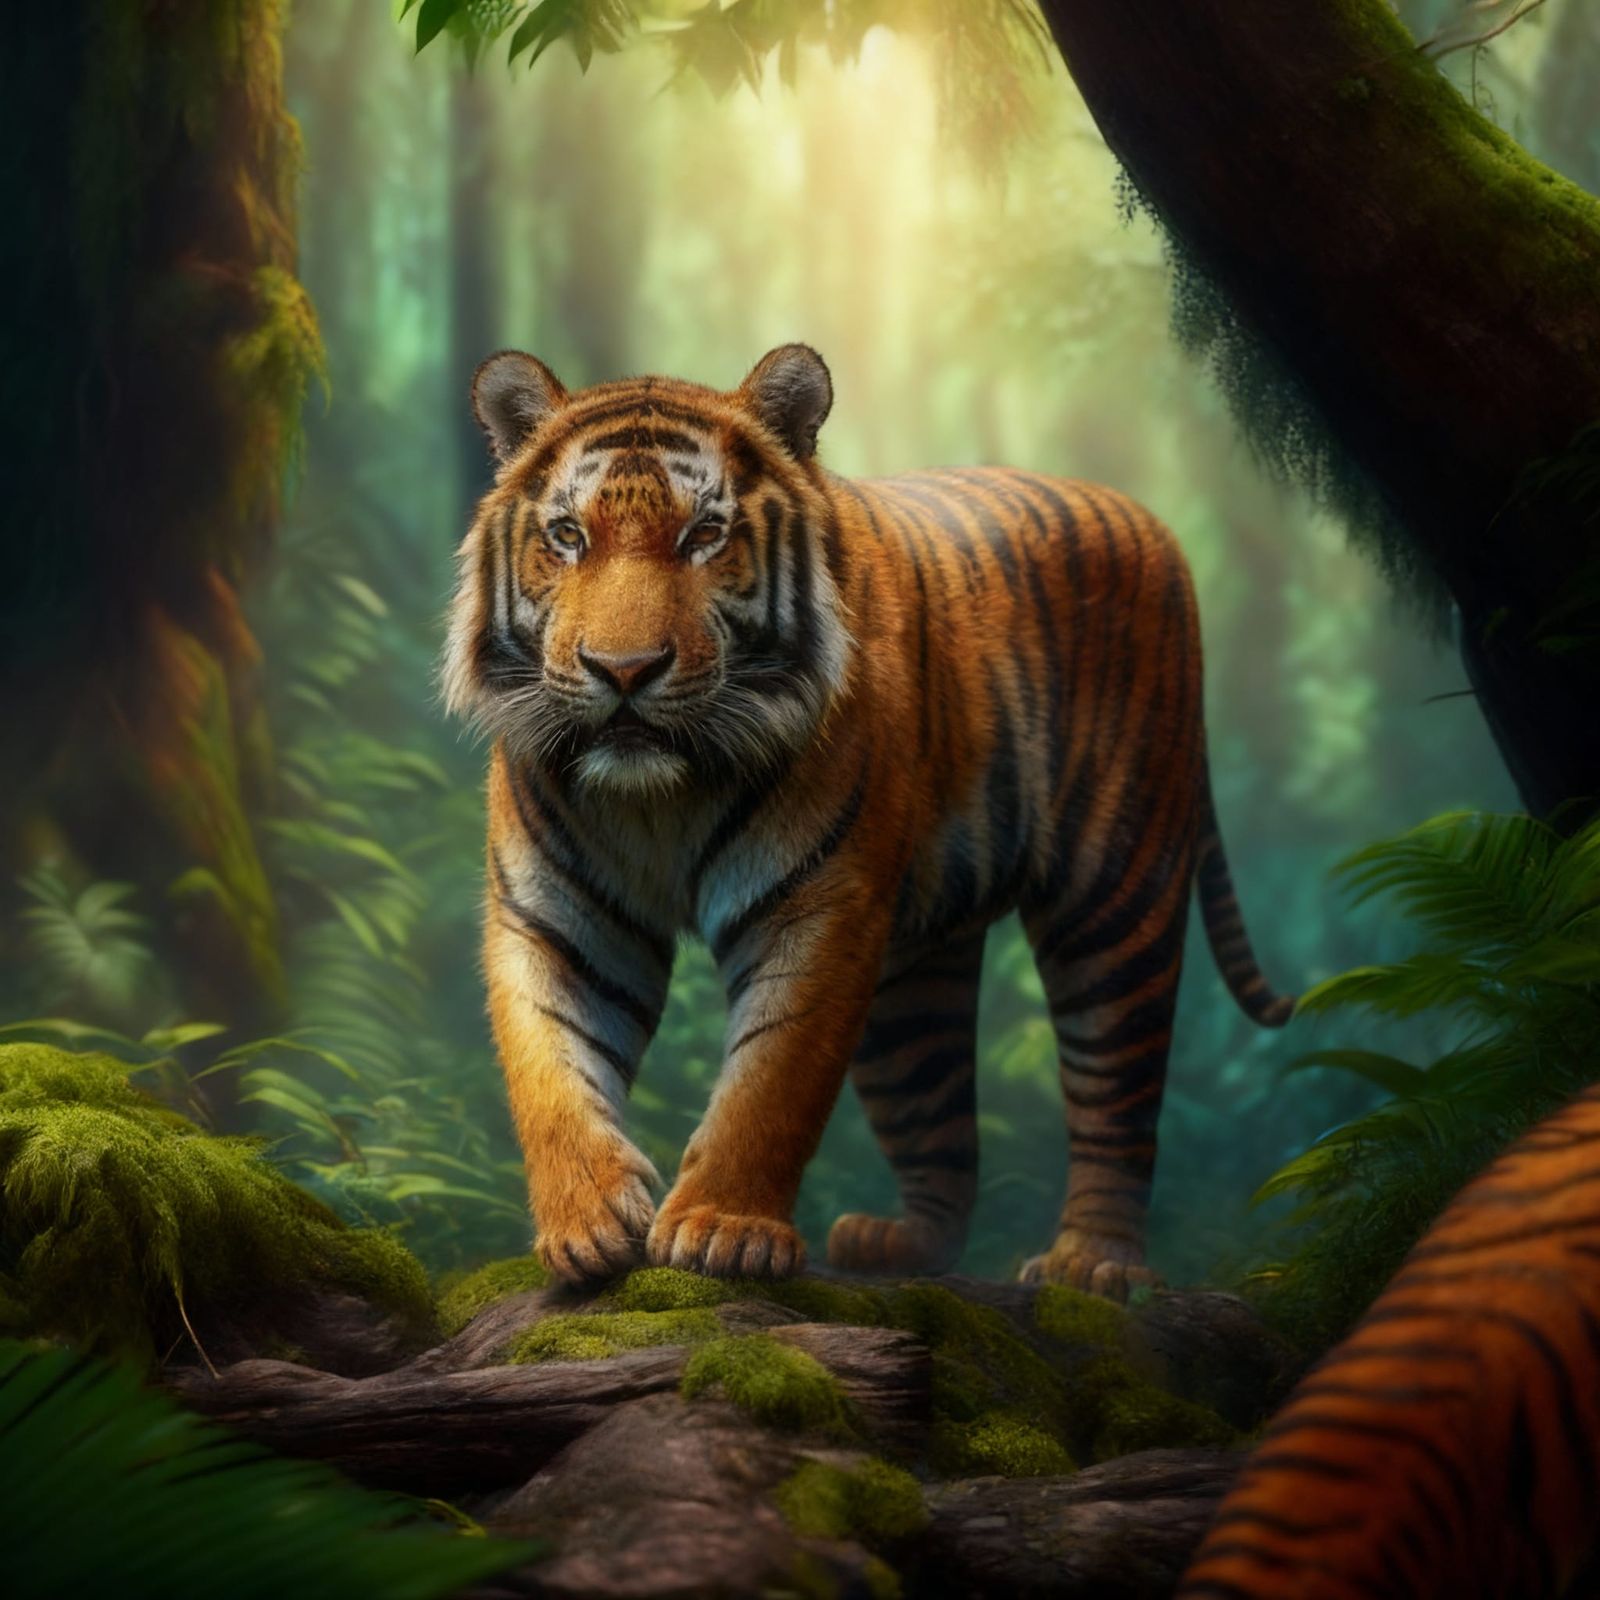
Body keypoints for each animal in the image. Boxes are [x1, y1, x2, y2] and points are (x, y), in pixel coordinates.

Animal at [442, 342, 1293, 1296]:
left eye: (704, 535)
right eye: (568, 537)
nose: (623, 669)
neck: (663, 795)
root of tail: (1150, 523)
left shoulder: (818, 908)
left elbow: (773, 1080)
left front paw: (722, 1228)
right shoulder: (555, 914)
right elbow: (550, 1068)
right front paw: (585, 1225)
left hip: (1116, 899)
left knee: (1119, 1090)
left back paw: (1092, 1263)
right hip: (913, 981)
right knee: (940, 1118)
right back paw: (901, 1243)